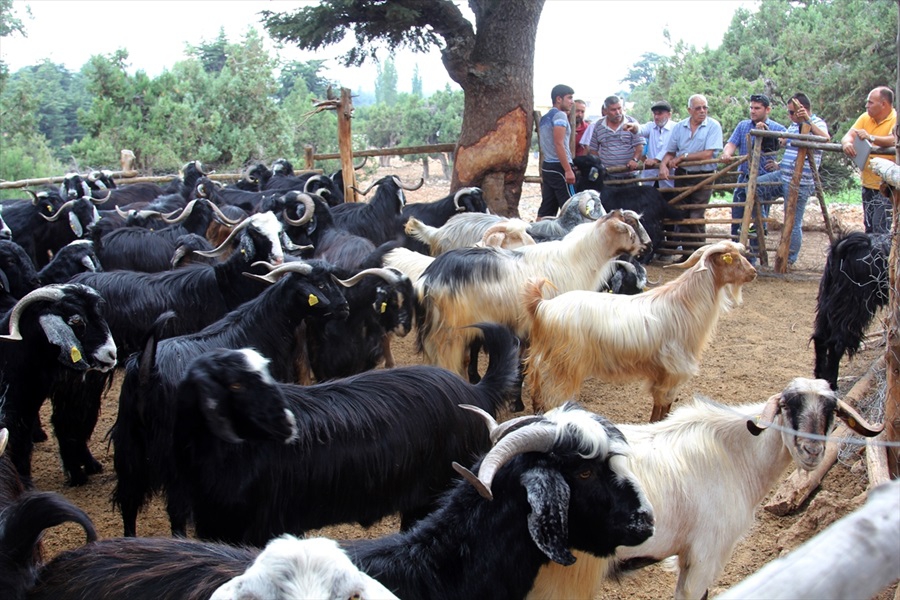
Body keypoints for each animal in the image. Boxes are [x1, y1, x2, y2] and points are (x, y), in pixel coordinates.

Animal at [112, 260, 352, 536]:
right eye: (320, 284)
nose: (345, 307)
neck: (258, 330)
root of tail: (146, 368)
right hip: (172, 453)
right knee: (175, 509)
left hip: (129, 444)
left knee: (128, 501)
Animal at [524, 239, 756, 418]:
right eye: (731, 258)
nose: (753, 273)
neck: (685, 303)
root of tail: (543, 306)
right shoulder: (674, 371)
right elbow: (664, 406)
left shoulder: (661, 373)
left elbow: (659, 405)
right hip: (564, 366)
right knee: (553, 398)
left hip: (543, 361)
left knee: (538, 393)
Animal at [812, 232, 888, 392]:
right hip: (854, 305)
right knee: (837, 342)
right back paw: (832, 383)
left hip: (828, 300)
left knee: (820, 337)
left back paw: (820, 378)